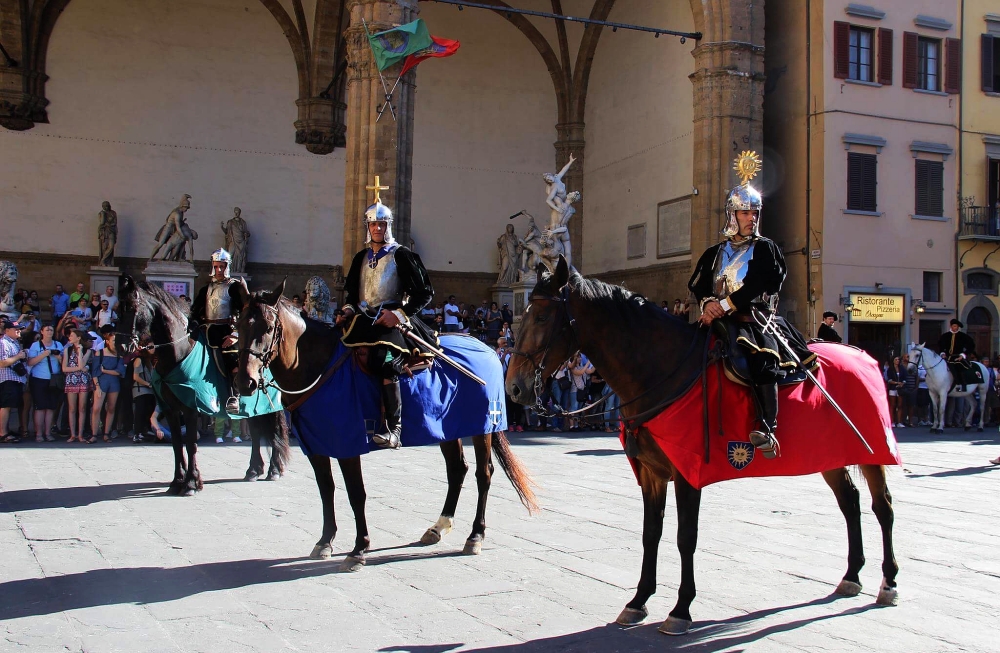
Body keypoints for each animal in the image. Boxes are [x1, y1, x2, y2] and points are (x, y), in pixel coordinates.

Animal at [235, 280, 540, 572]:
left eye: (269, 327)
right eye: (238, 325)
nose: (246, 382)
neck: (319, 366)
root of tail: (486, 348)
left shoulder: (348, 443)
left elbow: (356, 494)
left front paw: (359, 550)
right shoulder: (316, 445)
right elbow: (326, 489)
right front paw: (325, 542)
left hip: (483, 427)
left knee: (483, 474)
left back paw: (475, 536)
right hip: (447, 429)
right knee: (457, 470)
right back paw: (438, 527)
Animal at [508, 258, 900, 636]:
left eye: (541, 316)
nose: (514, 388)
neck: (663, 370)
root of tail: (862, 354)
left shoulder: (688, 472)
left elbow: (685, 537)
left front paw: (680, 610)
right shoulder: (651, 473)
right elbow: (651, 533)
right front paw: (638, 601)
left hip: (871, 451)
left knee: (882, 507)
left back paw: (889, 582)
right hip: (830, 454)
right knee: (850, 501)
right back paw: (851, 576)